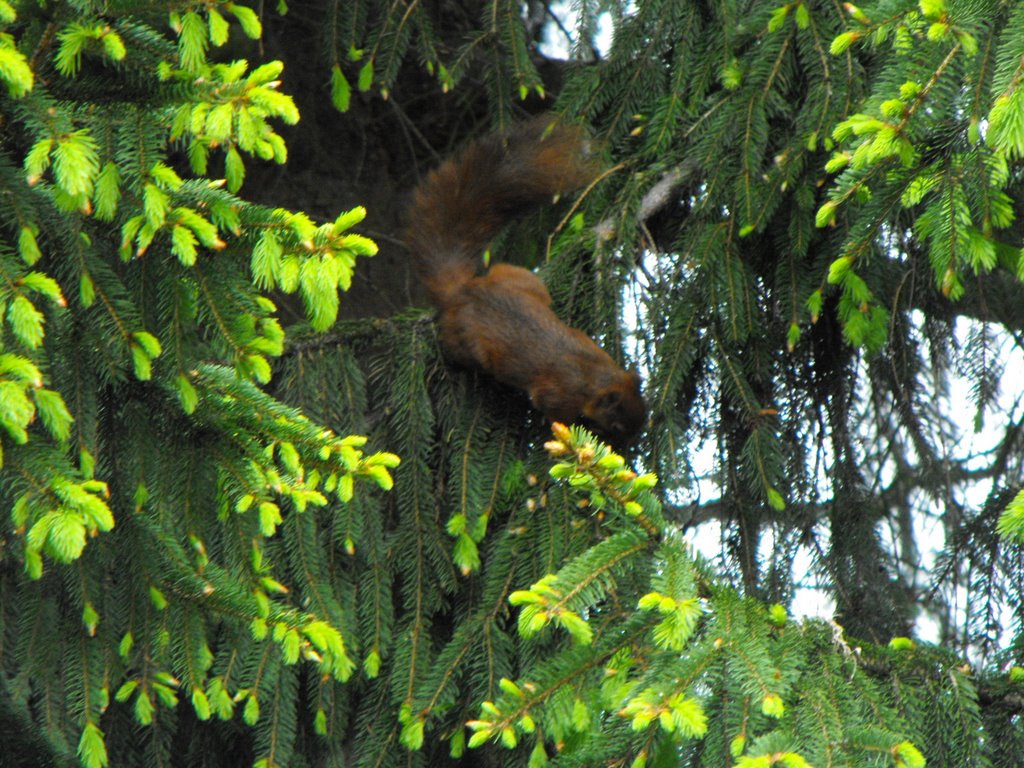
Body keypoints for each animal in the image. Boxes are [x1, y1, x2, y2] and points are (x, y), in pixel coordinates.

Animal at [403, 116, 643, 448]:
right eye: (616, 425)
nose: (629, 448)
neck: (592, 373)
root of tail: (464, 289)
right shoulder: (558, 396)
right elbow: (551, 411)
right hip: (465, 343)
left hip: (518, 277)